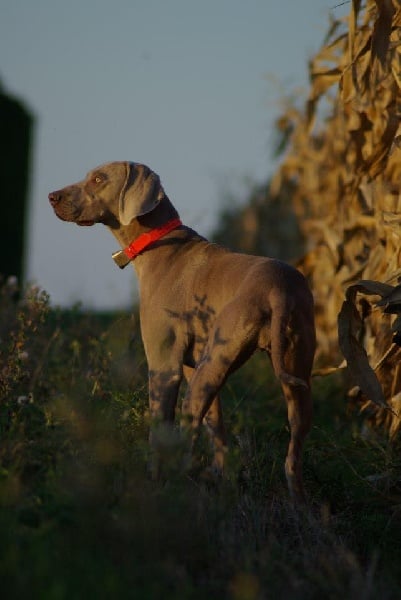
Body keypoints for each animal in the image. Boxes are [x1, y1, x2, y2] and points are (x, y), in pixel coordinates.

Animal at [49, 161, 315, 501]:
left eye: (98, 179)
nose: (52, 197)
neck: (159, 242)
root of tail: (278, 290)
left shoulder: (164, 367)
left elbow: (159, 430)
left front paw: (153, 483)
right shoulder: (192, 366)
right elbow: (216, 428)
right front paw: (222, 481)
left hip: (216, 363)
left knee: (186, 431)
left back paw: (176, 487)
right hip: (291, 370)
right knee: (294, 440)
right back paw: (299, 501)